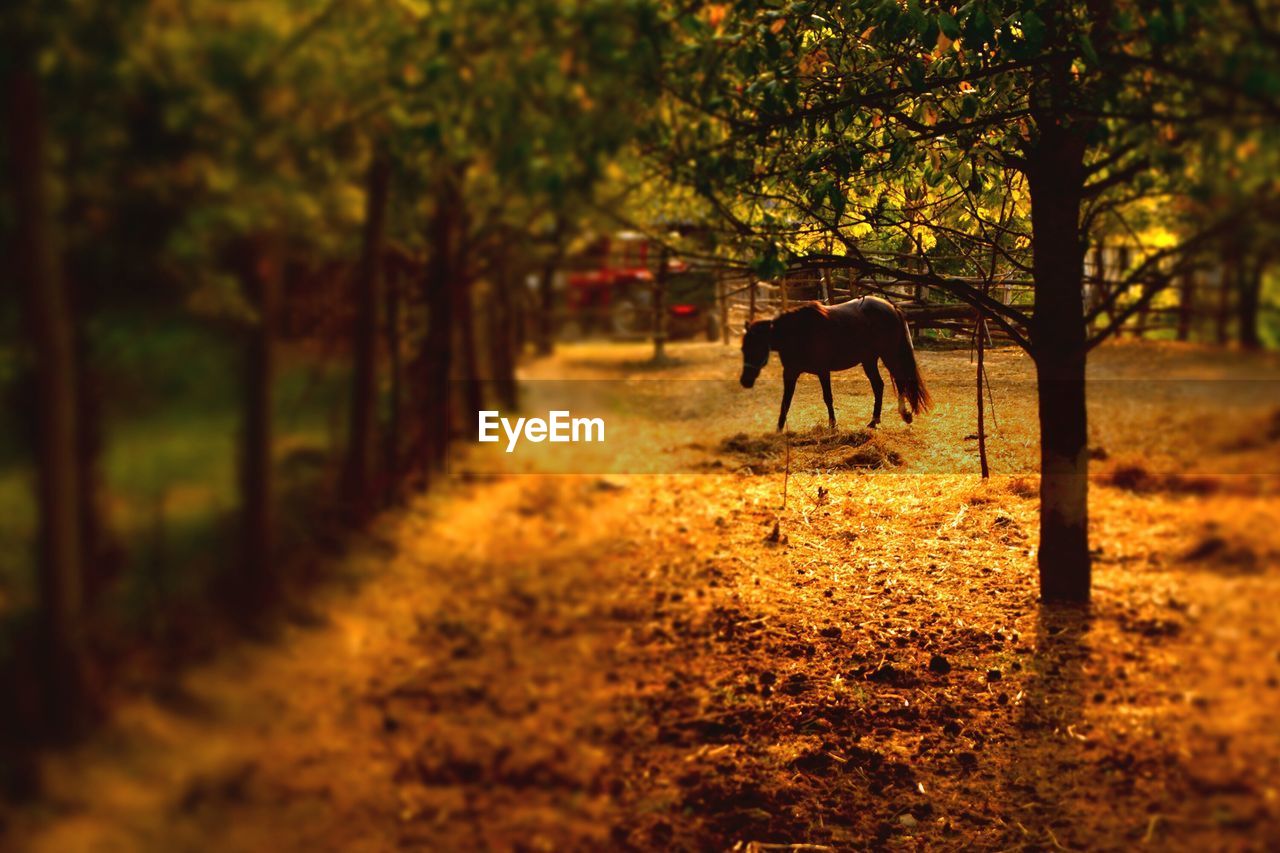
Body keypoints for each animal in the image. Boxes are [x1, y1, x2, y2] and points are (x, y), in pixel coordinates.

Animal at [742, 295, 931, 432]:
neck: (799, 332)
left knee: (900, 381)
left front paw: (832, 425)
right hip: (869, 360)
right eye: (744, 349)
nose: (745, 381)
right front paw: (778, 430)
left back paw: (905, 414)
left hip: (888, 355)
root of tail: (891, 306)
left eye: (755, 348)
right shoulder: (790, 372)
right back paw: (873, 421)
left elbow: (828, 398)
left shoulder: (822, 370)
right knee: (879, 386)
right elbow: (785, 401)